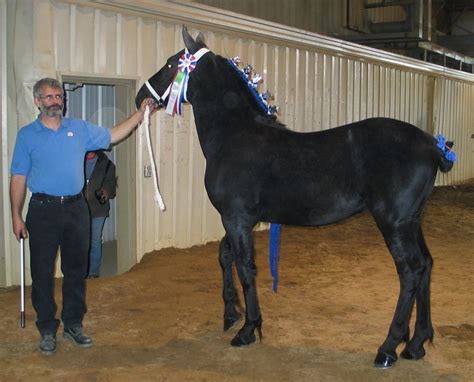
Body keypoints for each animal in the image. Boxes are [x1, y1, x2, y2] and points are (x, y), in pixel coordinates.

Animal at [135, 26, 454, 368]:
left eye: (171, 64)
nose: (140, 96)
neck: (235, 135)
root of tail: (432, 146)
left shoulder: (236, 219)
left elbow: (245, 267)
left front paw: (248, 329)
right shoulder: (240, 220)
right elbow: (225, 255)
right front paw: (231, 313)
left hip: (393, 223)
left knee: (410, 271)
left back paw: (389, 347)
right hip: (412, 221)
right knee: (426, 265)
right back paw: (416, 343)